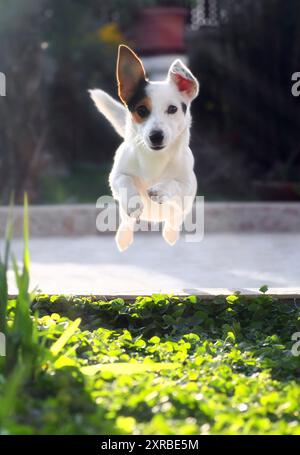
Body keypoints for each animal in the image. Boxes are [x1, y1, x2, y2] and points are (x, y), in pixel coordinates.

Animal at [88, 45, 199, 253]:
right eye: (141, 110)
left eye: (172, 109)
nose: (156, 136)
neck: (155, 159)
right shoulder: (116, 176)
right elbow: (125, 182)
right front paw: (134, 201)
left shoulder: (188, 185)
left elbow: (174, 184)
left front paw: (160, 189)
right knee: (127, 222)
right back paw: (124, 237)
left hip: (181, 211)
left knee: (174, 221)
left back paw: (170, 235)